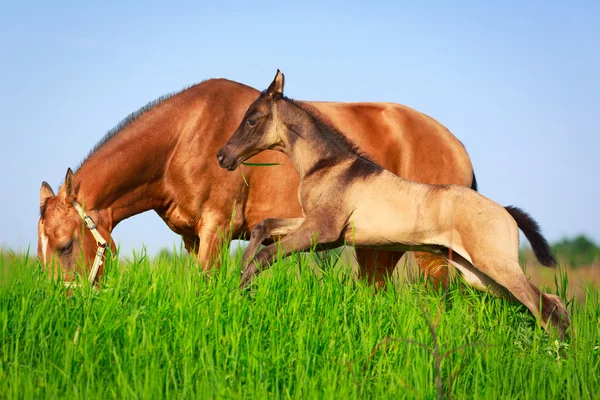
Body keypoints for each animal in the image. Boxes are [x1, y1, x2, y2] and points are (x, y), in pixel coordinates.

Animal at [39, 76, 476, 288]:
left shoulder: (215, 230)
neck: (185, 136)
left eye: (65, 246)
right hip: (377, 249)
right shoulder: (192, 239)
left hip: (430, 256)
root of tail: (456, 145)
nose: (63, 302)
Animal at [217, 70, 572, 336]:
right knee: (552, 303)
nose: (223, 156)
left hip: (496, 266)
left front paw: (242, 289)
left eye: (252, 119)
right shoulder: (312, 226)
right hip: (479, 276)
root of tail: (506, 212)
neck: (328, 165)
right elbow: (264, 229)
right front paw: (238, 276)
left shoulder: (322, 232)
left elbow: (267, 256)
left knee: (545, 309)